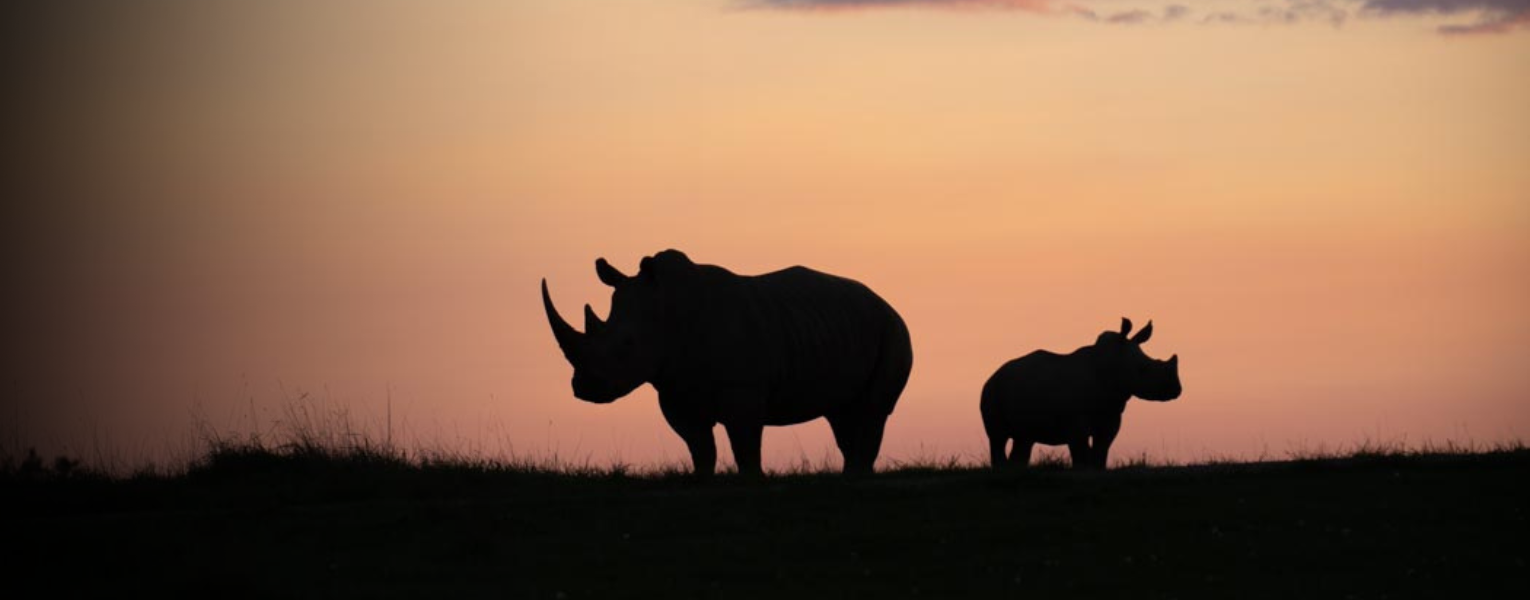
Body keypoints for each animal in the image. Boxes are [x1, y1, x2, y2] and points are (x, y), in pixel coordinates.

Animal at [541, 249, 913, 476]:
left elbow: (744, 444)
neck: (665, 311)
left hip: (893, 329)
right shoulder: (674, 390)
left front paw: (752, 479)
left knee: (873, 411)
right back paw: (850, 474)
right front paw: (701, 479)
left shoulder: (743, 391)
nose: (584, 388)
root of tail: (884, 301)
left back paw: (858, 475)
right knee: (841, 412)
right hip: (841, 327)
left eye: (626, 345)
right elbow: (699, 446)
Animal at [980, 318, 1181, 470]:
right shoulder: (1076, 422)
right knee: (998, 437)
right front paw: (1083, 471)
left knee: (1024, 438)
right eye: (1143, 369)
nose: (1176, 390)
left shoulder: (1111, 414)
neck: (1111, 364)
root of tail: (994, 373)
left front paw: (1097, 470)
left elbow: (1101, 448)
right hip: (992, 391)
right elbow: (1081, 451)